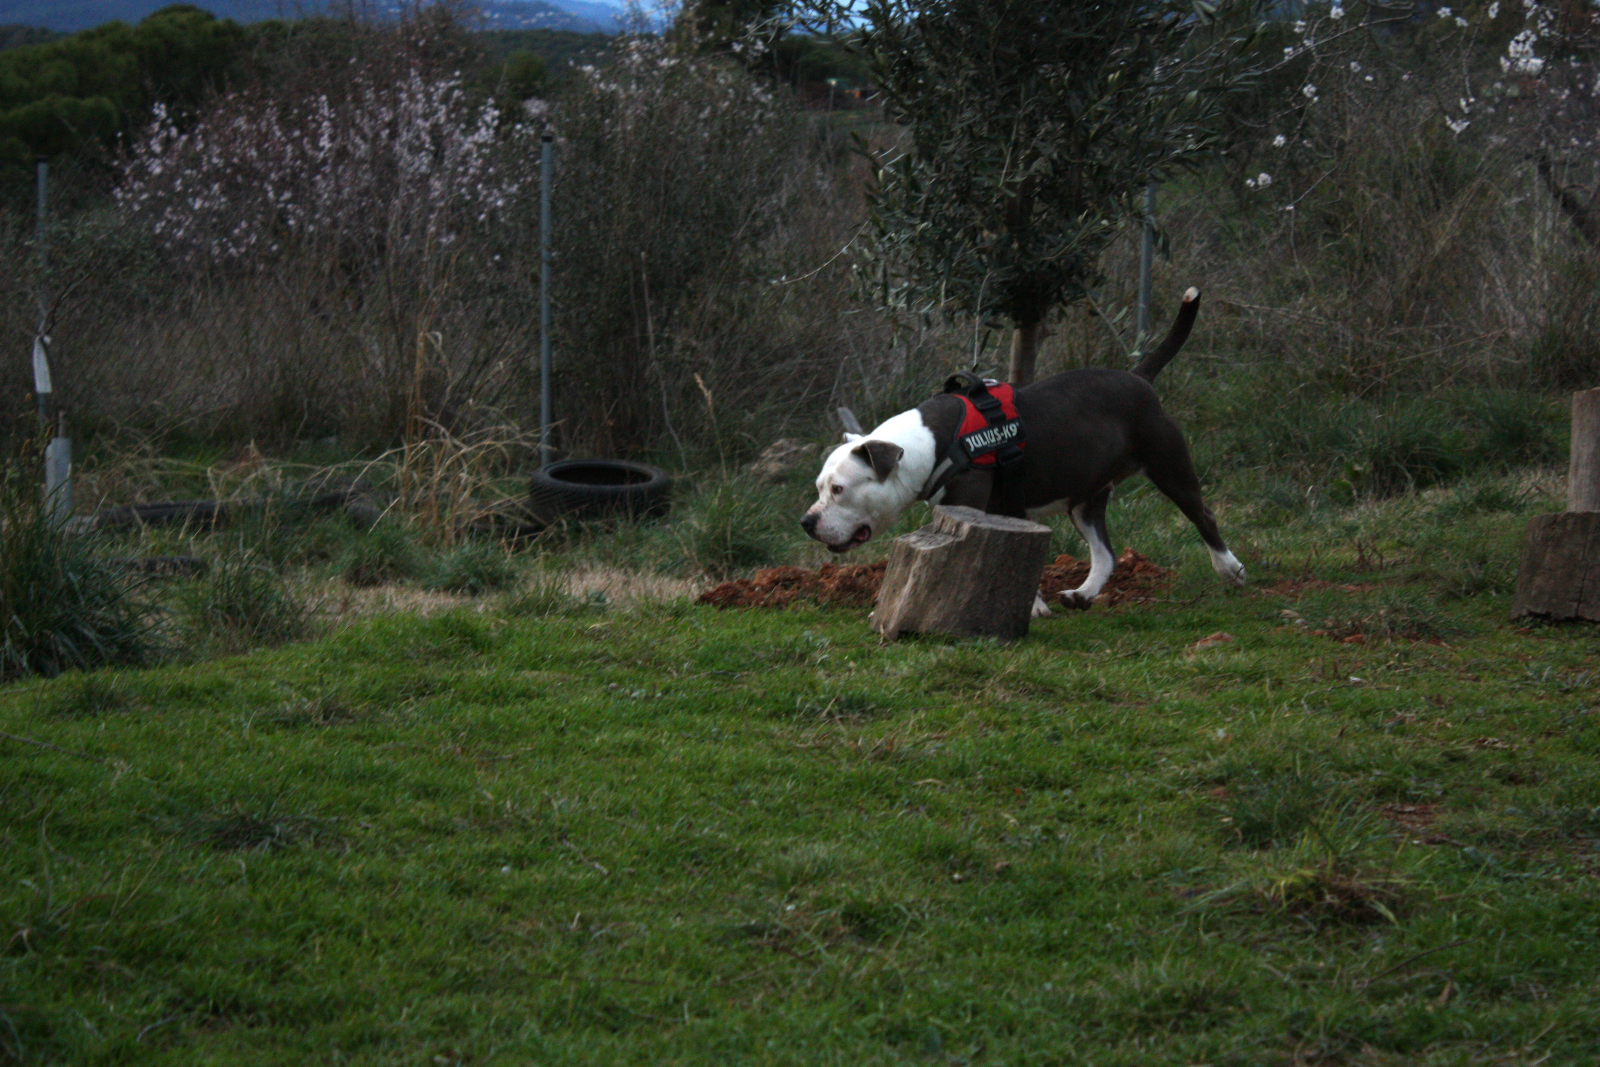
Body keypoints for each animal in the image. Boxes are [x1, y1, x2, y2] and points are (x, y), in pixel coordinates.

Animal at [800, 288, 1245, 614]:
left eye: (839, 489)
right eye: (819, 487)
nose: (807, 521)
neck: (931, 443)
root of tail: (1138, 377)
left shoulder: (977, 506)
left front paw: (1030, 608)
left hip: (1168, 465)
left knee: (1203, 516)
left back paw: (1230, 569)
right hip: (1085, 499)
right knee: (1105, 553)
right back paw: (1082, 594)